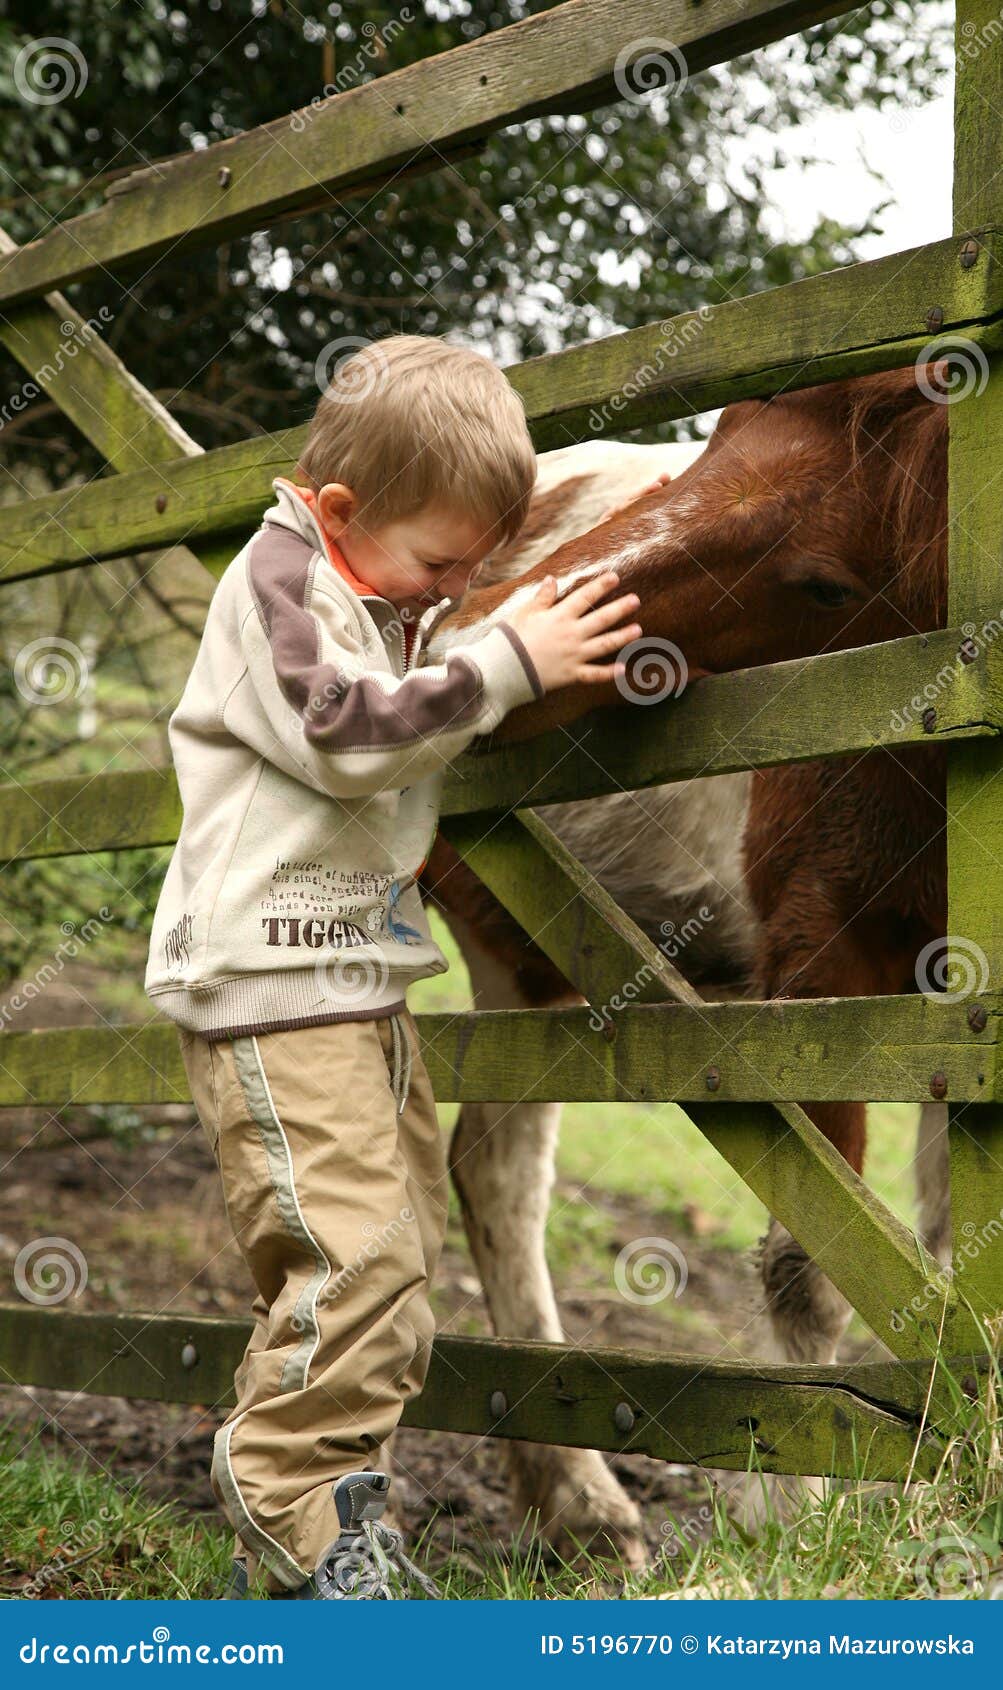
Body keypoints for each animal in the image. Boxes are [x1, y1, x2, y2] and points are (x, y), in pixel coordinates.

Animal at [419, 367, 951, 1564]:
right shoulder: (818, 976)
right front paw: (791, 1524)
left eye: (824, 584)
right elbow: (810, 1270)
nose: (467, 636)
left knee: (492, 1167)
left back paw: (565, 1498)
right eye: (715, 439)